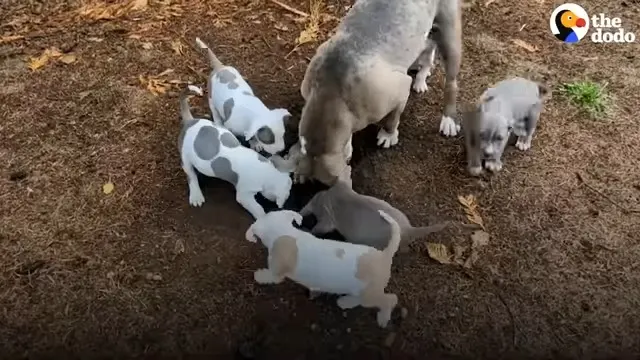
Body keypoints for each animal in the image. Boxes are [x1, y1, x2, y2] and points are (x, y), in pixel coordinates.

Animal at [178, 85, 292, 219]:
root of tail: (190, 122)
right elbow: (258, 209)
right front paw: (264, 218)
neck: (266, 172)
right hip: (185, 160)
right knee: (191, 176)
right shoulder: (244, 195)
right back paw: (196, 196)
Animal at [248, 208, 402, 330]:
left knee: (390, 300)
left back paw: (383, 318)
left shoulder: (276, 272)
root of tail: (384, 255)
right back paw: (346, 302)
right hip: (363, 292)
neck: (284, 233)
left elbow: (269, 276)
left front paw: (258, 276)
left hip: (370, 295)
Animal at [292, 0, 462, 186]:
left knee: (451, 83)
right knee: (428, 49)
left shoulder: (399, 90)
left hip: (449, 36)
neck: (329, 94)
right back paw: (421, 76)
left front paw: (388, 136)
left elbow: (392, 119)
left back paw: (449, 119)